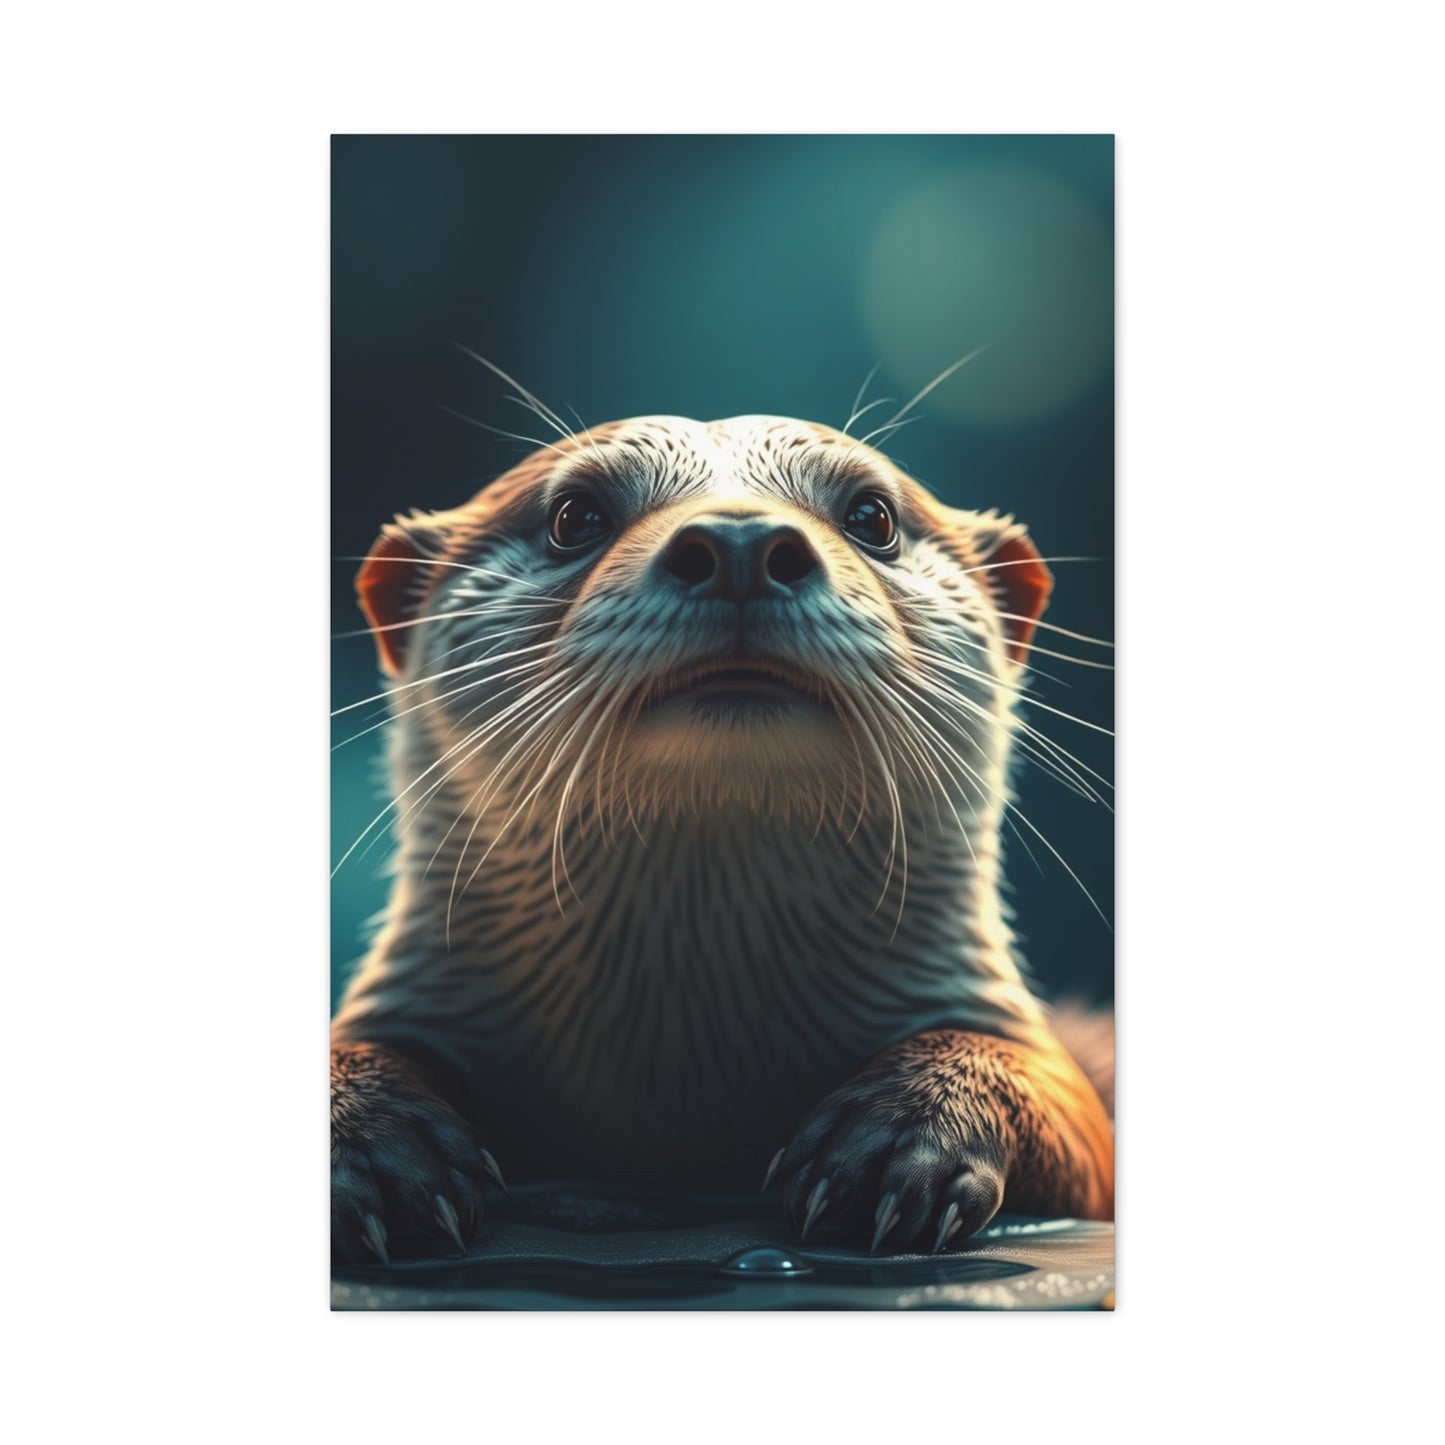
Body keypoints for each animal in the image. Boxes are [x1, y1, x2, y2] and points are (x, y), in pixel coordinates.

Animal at [331, 412, 1113, 1265]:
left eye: (872, 516)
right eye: (575, 516)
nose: (742, 541)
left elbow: (1063, 1103)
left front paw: (905, 1133)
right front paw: (371, 1144)